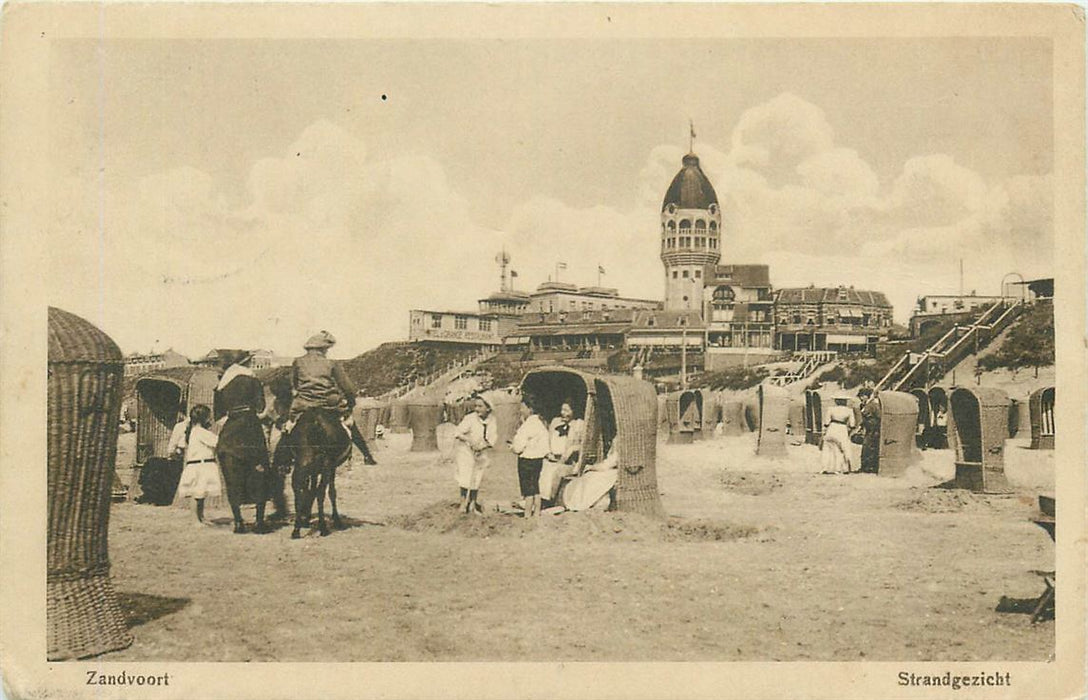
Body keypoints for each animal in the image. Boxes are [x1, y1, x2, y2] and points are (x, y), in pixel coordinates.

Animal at [287, 407, 350, 539]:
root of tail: (315, 422)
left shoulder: (314, 469)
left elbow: (311, 490)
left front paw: (306, 518)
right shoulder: (331, 467)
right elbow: (331, 492)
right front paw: (337, 520)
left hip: (302, 463)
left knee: (298, 489)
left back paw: (296, 529)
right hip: (326, 465)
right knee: (321, 492)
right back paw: (323, 528)